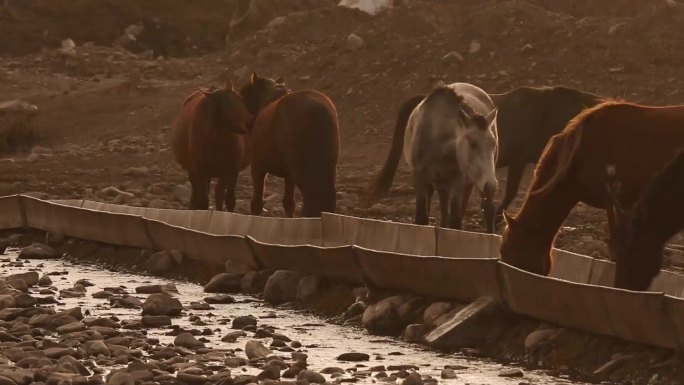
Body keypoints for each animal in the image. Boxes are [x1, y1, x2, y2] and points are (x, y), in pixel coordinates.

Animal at [171, 78, 254, 210]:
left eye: (241, 100)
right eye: (227, 105)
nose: (250, 121)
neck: (215, 140)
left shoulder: (230, 169)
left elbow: (227, 198)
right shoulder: (200, 171)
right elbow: (203, 201)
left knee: (218, 193)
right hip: (196, 173)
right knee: (197, 195)